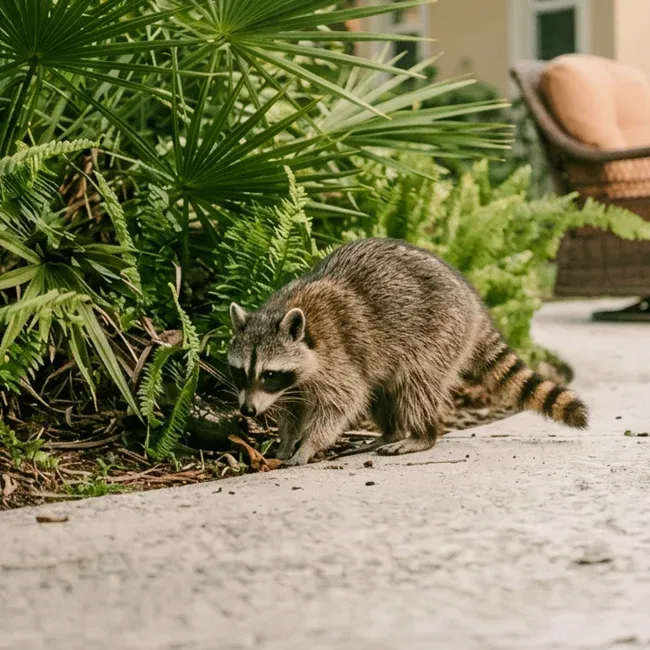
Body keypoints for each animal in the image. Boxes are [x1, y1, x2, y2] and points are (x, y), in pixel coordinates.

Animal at [227, 238, 588, 466]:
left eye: (269, 373)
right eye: (240, 372)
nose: (247, 411)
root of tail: (473, 301)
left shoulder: (338, 357)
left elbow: (342, 401)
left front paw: (309, 445)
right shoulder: (294, 382)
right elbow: (291, 410)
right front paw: (286, 441)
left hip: (438, 334)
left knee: (416, 386)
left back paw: (421, 435)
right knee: (382, 392)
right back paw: (387, 433)